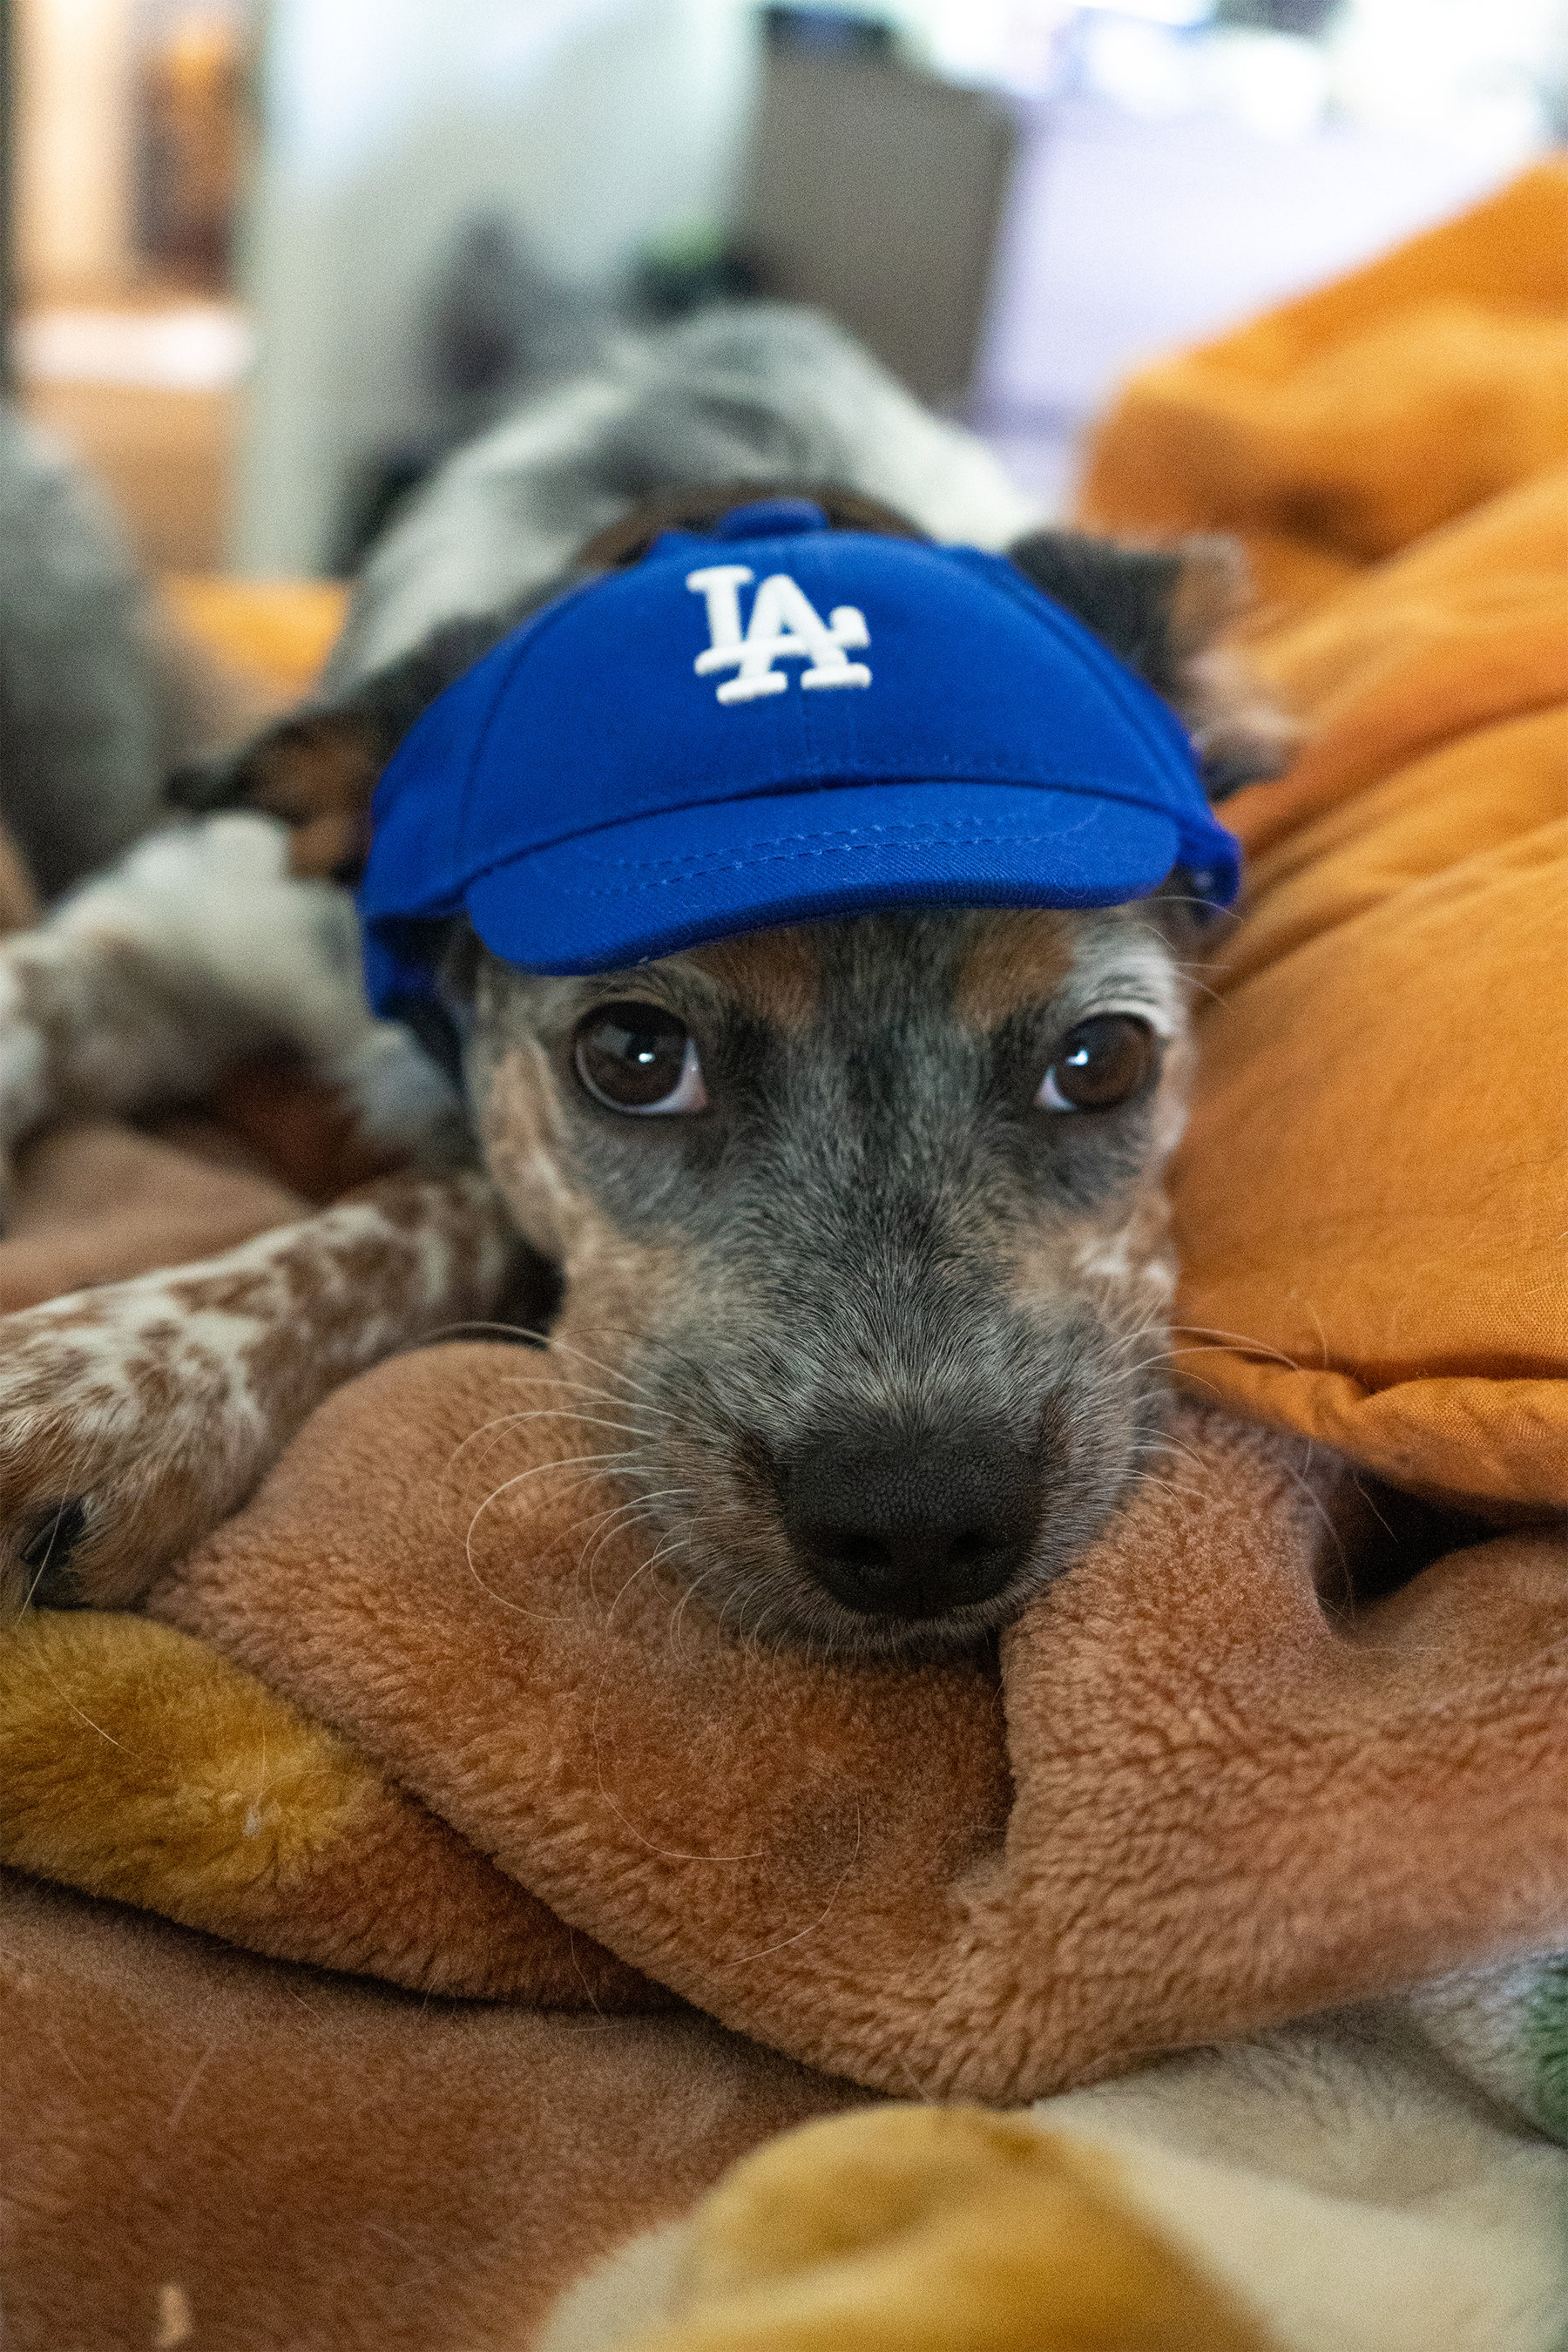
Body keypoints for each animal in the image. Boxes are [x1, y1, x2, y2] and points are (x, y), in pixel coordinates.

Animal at [0, 303, 1288, 1646]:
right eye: (632, 1058)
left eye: (1101, 1061)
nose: (920, 1526)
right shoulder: (179, 923)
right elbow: (30, 993)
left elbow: (415, 1219)